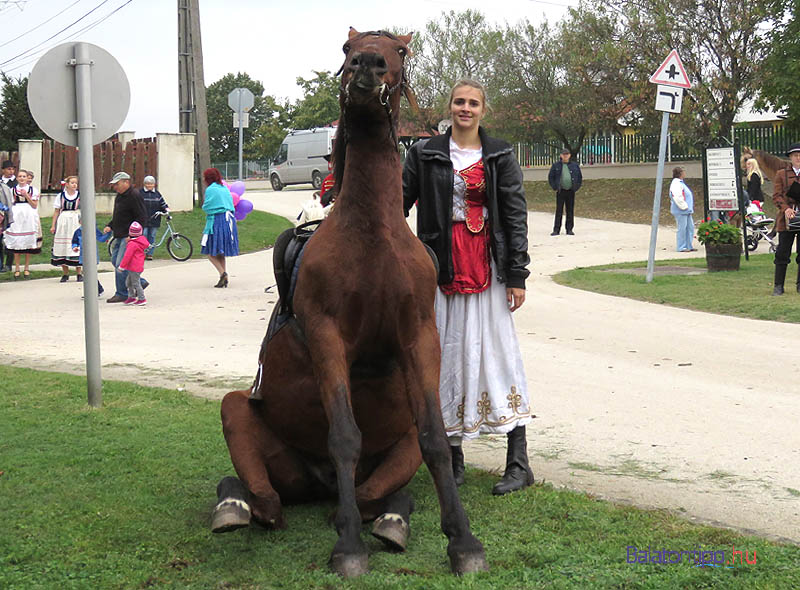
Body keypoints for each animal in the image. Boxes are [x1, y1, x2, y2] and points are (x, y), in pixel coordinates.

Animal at [211, 27, 488, 580]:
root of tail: (318, 485)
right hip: (242, 418)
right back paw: (236, 506)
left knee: (372, 494)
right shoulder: (327, 336)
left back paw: (388, 519)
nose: (367, 65)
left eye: (399, 50)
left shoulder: (419, 335)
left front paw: (463, 541)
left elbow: (435, 439)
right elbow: (343, 433)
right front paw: (349, 547)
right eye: (346, 49)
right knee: (262, 497)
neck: (372, 236)